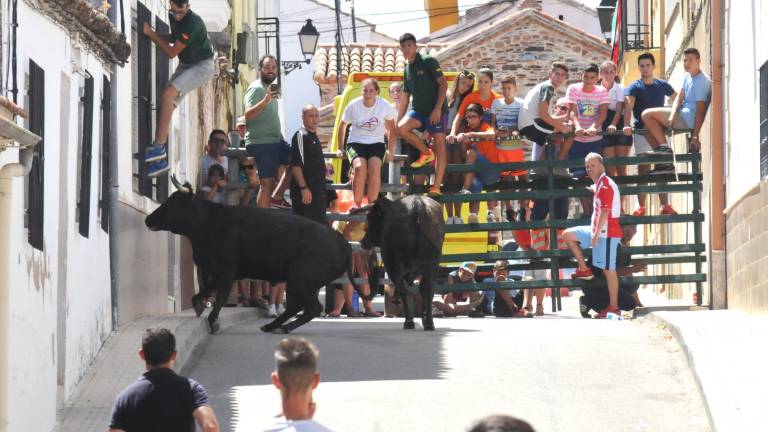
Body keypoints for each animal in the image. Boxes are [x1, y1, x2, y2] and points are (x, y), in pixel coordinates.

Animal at [358, 196, 444, 330]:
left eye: (370, 218)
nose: (363, 241)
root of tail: (417, 204)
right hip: (432, 263)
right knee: (428, 289)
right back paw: (429, 323)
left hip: (394, 265)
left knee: (404, 289)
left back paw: (409, 321)